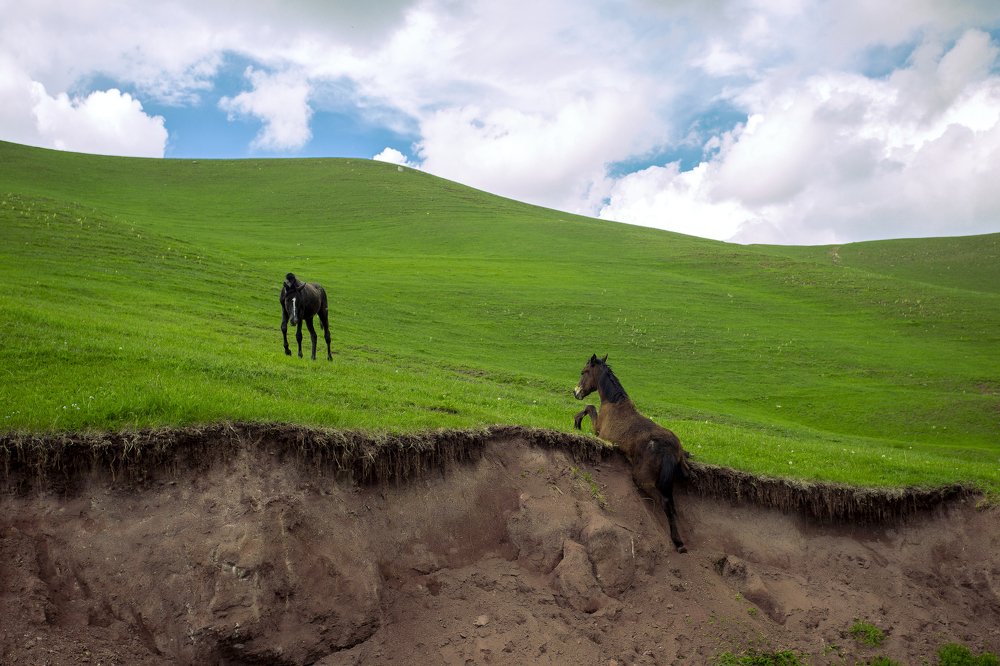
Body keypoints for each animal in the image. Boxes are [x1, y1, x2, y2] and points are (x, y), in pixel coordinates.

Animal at [573, 354, 690, 552]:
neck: (614, 402)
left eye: (584, 371)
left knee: (665, 503)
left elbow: (589, 408)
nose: (576, 392)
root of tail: (668, 448)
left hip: (643, 480)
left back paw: (677, 541)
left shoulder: (599, 432)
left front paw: (577, 422)